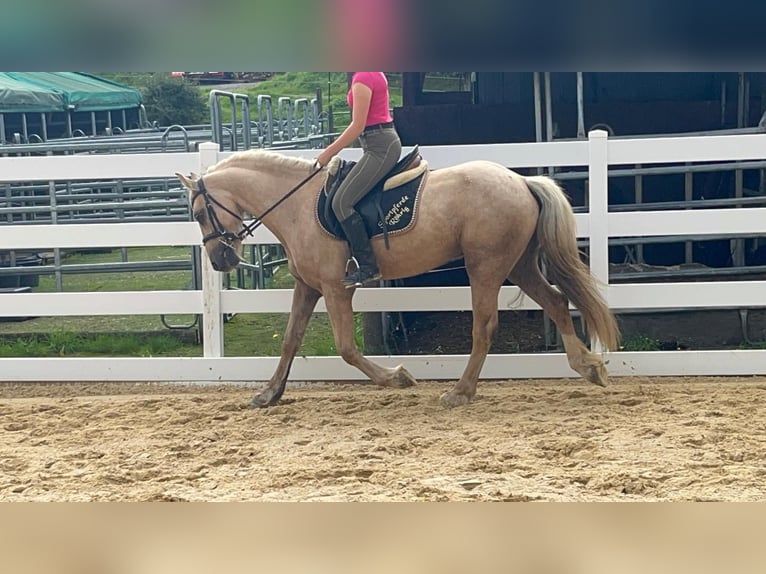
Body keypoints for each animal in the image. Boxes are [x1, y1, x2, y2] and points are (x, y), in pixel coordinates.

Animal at [176, 149, 620, 408]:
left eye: (198, 213)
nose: (220, 260)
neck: (297, 205)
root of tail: (522, 180)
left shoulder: (335, 289)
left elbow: (345, 349)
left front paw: (398, 377)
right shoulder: (308, 287)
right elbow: (289, 340)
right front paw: (269, 393)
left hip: (487, 268)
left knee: (485, 327)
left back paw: (461, 392)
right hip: (518, 265)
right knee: (557, 301)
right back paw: (588, 367)